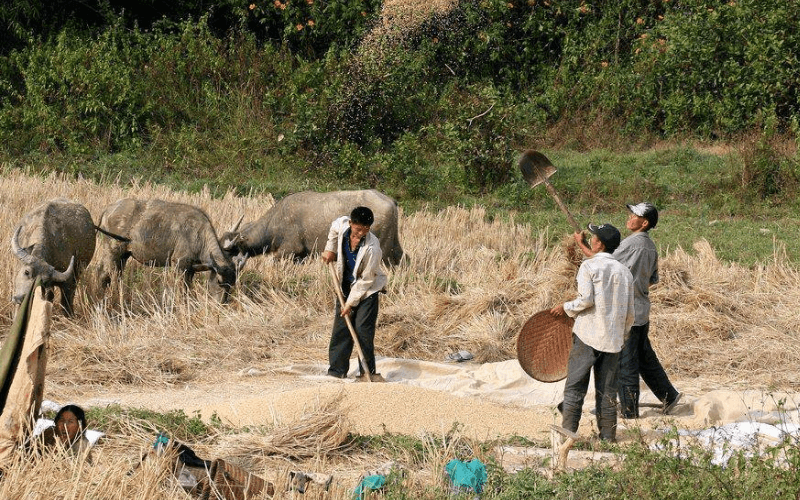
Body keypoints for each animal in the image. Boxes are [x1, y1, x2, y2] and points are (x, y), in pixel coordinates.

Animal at [94, 198, 244, 300]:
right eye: (219, 282)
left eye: (232, 284)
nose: (221, 302)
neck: (198, 234)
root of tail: (109, 209)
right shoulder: (179, 264)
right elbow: (180, 289)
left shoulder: (190, 269)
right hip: (113, 250)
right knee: (106, 273)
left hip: (124, 255)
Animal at [220, 188, 404, 266]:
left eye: (227, 251)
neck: (276, 221)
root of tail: (391, 201)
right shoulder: (301, 256)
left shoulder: (288, 250)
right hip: (394, 245)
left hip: (383, 251)